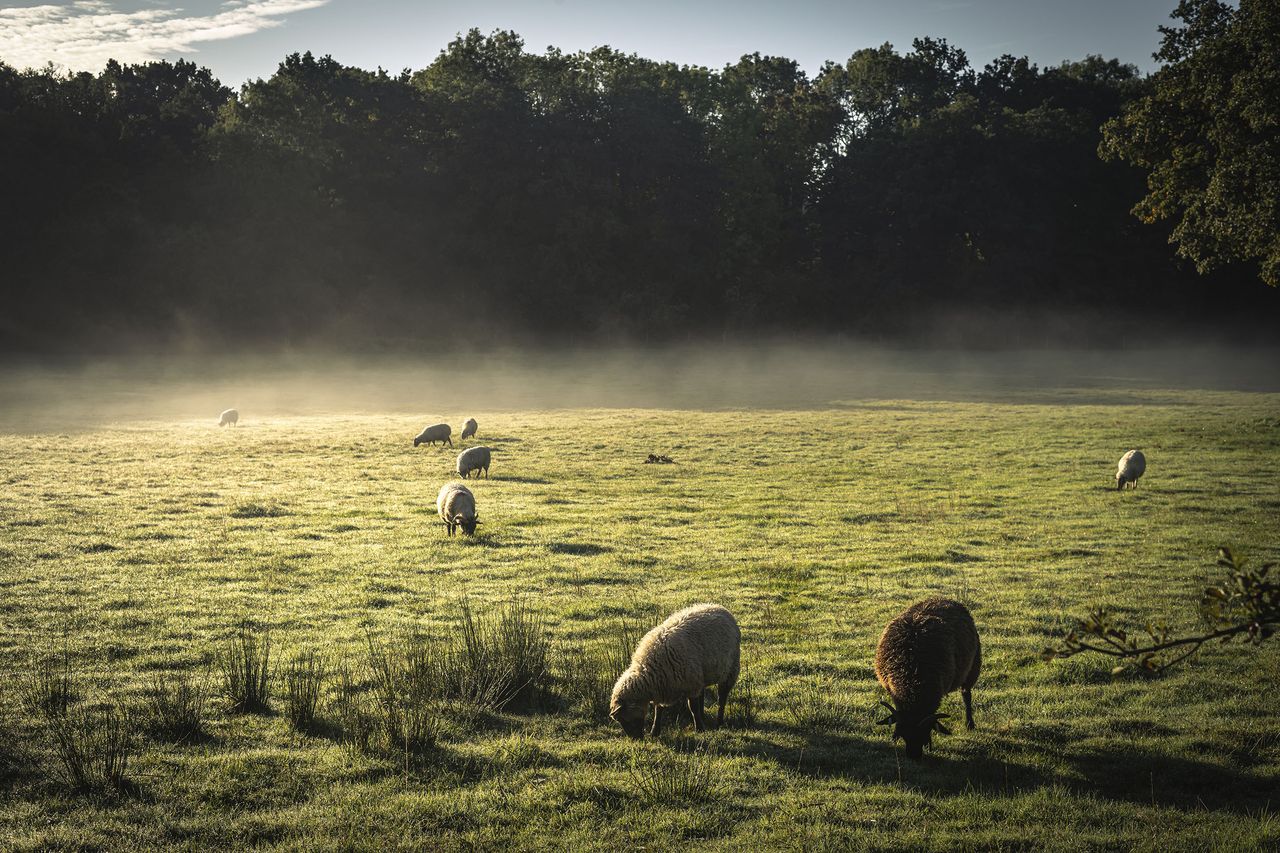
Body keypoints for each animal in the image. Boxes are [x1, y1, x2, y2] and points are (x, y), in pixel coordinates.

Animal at [609, 601, 742, 732]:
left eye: (625, 719)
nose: (636, 737)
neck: (650, 670)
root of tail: (718, 606)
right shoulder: (663, 686)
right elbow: (658, 709)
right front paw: (655, 731)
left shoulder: (691, 685)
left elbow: (693, 708)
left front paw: (699, 728)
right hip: (701, 675)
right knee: (702, 695)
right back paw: (703, 717)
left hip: (730, 670)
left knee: (722, 698)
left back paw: (719, 722)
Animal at [875, 596, 983, 758]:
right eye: (903, 734)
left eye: (925, 733)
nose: (914, 757)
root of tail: (943, 598)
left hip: (972, 667)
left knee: (966, 695)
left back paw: (970, 724)